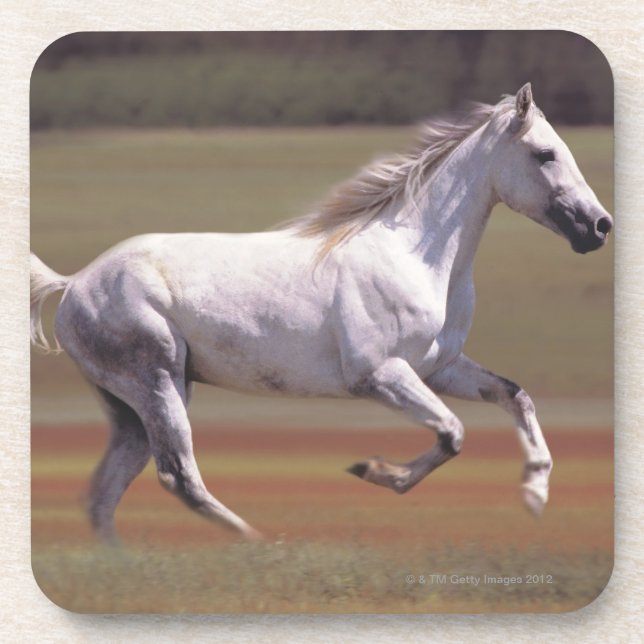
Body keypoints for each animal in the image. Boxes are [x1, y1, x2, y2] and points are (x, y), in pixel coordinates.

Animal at [30, 84, 612, 543]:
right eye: (545, 154)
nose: (600, 226)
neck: (415, 253)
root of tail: (75, 282)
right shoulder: (379, 375)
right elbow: (452, 433)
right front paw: (372, 471)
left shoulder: (440, 368)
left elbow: (516, 397)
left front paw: (535, 493)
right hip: (160, 383)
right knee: (179, 476)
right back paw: (259, 542)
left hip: (129, 407)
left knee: (104, 495)